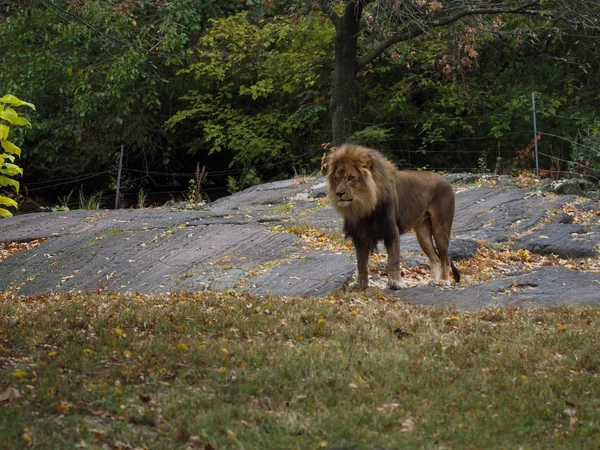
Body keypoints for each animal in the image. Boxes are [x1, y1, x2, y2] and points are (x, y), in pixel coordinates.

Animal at [328, 144, 460, 292]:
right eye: (336, 179)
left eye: (351, 178)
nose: (339, 193)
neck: (364, 205)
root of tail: (446, 181)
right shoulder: (360, 235)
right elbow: (361, 264)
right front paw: (360, 284)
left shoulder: (391, 230)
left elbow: (393, 260)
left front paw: (396, 282)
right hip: (423, 233)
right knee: (436, 258)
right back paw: (432, 281)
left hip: (440, 228)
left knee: (446, 258)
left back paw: (444, 281)